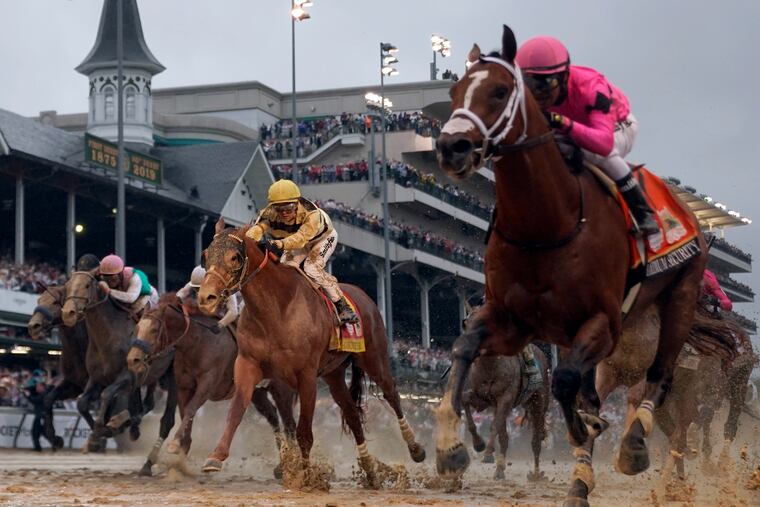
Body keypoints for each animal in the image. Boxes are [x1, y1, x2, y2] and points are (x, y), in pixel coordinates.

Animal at [27, 283, 89, 449]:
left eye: (55, 302)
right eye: (38, 300)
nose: (33, 326)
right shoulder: (74, 384)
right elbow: (48, 399)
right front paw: (54, 438)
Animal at [61, 269, 147, 451]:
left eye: (87, 285)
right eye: (67, 286)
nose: (67, 313)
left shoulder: (126, 375)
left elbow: (107, 394)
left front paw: (102, 429)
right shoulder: (96, 377)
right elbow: (81, 403)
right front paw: (97, 435)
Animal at [127, 292, 298, 477]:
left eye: (154, 329)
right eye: (136, 328)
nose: (133, 359)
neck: (197, 342)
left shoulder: (207, 384)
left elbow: (191, 409)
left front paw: (174, 445)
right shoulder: (184, 387)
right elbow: (186, 413)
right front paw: (181, 453)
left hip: (281, 389)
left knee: (289, 422)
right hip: (255, 392)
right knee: (272, 415)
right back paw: (281, 465)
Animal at [196, 218, 425, 485]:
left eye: (234, 257)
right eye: (205, 255)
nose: (206, 297)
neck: (276, 309)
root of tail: (364, 297)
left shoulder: (305, 376)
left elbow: (303, 430)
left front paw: (306, 477)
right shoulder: (249, 364)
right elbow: (237, 410)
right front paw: (216, 456)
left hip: (374, 358)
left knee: (392, 394)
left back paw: (416, 448)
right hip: (334, 374)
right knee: (351, 413)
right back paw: (369, 470)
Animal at [462, 344, 550, 481]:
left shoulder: (505, 398)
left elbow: (496, 426)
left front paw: (488, 453)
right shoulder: (483, 399)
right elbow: (465, 398)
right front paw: (478, 443)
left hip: (539, 402)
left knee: (536, 440)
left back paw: (536, 474)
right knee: (503, 434)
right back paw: (500, 469)